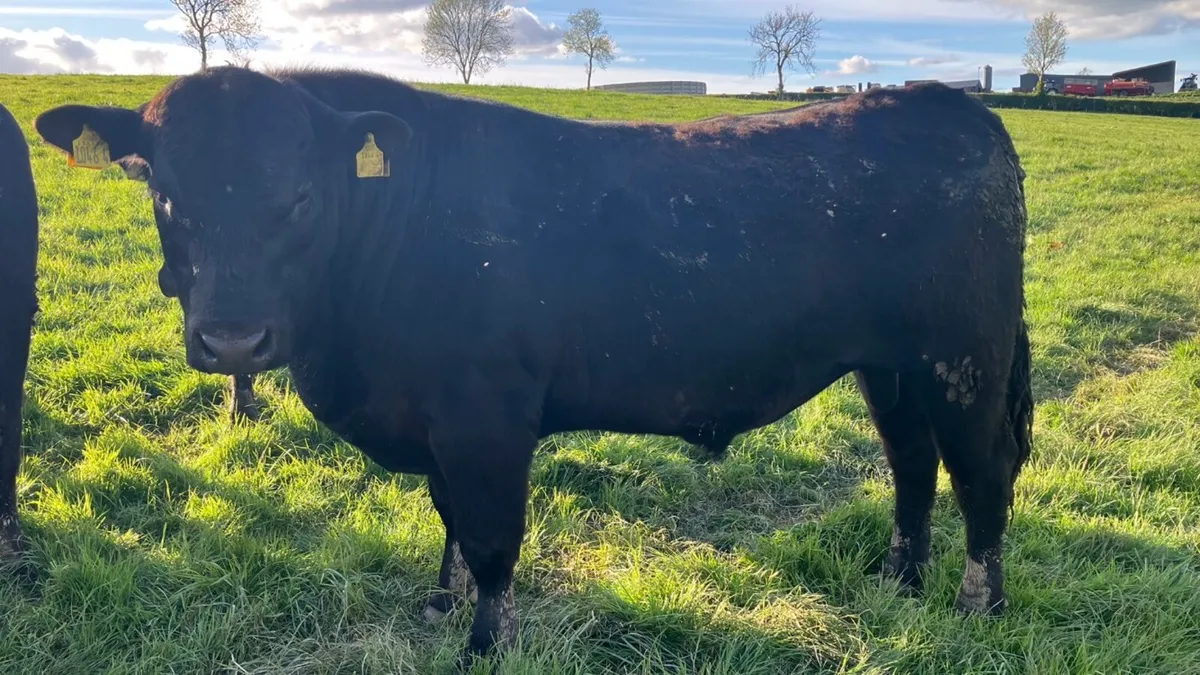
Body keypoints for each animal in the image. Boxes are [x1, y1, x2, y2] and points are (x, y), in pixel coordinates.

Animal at [34, 67, 1034, 660]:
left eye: (302, 196)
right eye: (163, 191)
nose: (235, 342)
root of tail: (946, 100)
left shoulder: (486, 417)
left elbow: (490, 537)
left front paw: (487, 640)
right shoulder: (436, 423)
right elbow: (448, 519)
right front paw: (441, 607)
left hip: (965, 356)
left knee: (981, 474)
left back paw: (979, 606)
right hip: (890, 365)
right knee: (911, 464)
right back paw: (899, 577)